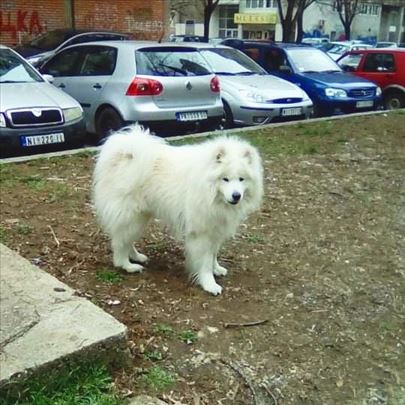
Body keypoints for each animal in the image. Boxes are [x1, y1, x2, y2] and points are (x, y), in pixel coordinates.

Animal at [91, 124, 262, 296]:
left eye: (241, 179)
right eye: (225, 179)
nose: (236, 196)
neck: (209, 191)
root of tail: (124, 152)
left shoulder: (216, 227)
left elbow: (213, 254)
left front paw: (217, 269)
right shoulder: (202, 232)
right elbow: (205, 261)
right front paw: (209, 284)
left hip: (139, 217)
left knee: (126, 238)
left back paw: (137, 256)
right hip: (130, 215)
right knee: (120, 242)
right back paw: (127, 265)